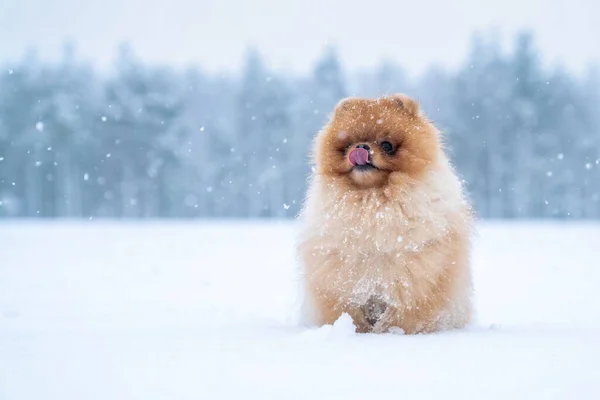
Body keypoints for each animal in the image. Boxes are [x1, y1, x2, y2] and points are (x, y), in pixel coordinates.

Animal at [296, 94, 474, 334]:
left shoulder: (417, 279)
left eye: (387, 145)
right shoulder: (338, 278)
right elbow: (347, 312)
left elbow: (403, 316)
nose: (360, 148)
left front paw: (388, 334)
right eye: (347, 145)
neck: (373, 202)